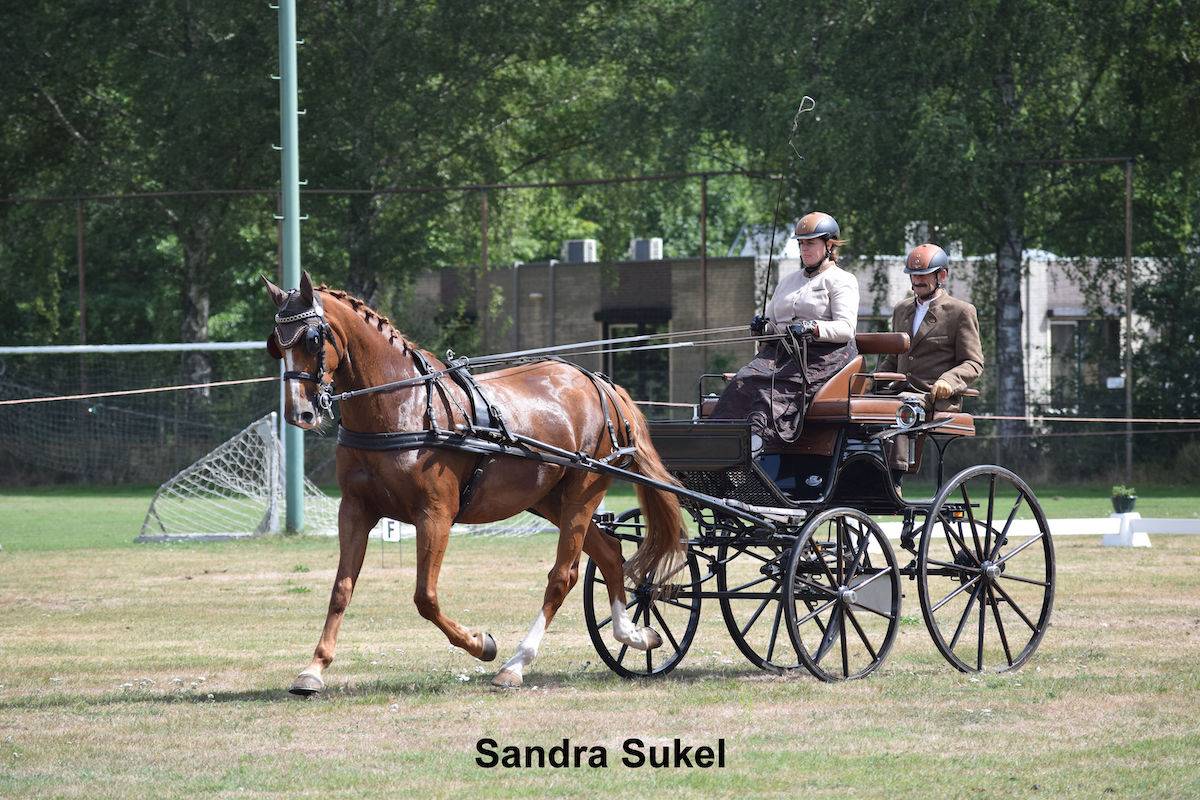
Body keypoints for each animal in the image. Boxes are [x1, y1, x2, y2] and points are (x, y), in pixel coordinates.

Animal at [263, 271, 684, 692]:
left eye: (312, 339)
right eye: (276, 345)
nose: (299, 412)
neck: (403, 405)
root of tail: (600, 384)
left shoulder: (435, 514)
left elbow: (425, 597)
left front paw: (482, 644)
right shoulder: (354, 509)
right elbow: (341, 589)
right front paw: (314, 668)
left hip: (584, 490)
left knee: (562, 575)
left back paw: (516, 663)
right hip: (551, 499)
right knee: (610, 552)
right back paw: (633, 634)